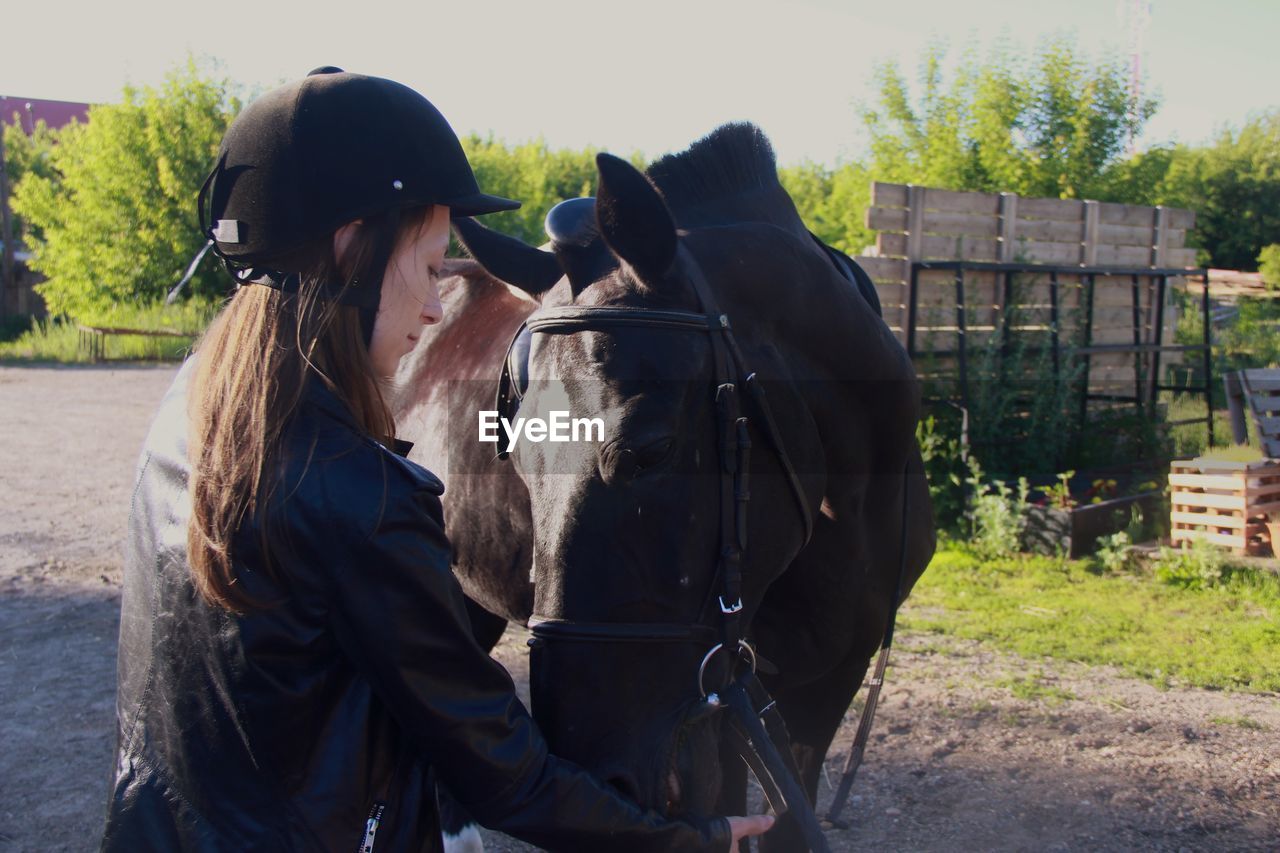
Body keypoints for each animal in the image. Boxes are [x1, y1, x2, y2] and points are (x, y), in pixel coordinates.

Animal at [394, 122, 936, 845]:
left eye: (649, 450)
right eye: (518, 453)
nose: (602, 775)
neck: (849, 500)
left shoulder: (822, 686)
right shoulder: (723, 703)